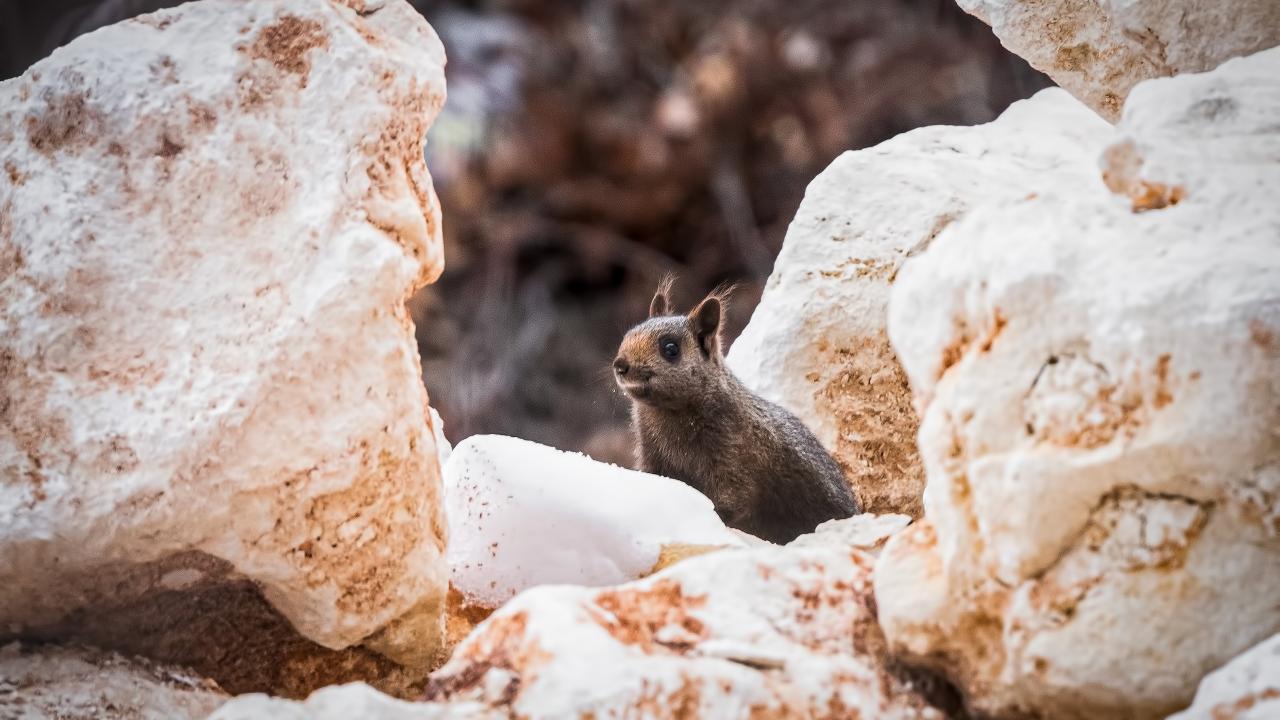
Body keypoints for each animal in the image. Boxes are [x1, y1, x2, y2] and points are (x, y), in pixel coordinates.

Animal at [613, 278, 860, 544]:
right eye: (628, 335)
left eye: (670, 348)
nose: (620, 365)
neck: (667, 412)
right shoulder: (652, 454)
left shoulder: (732, 457)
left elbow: (732, 501)